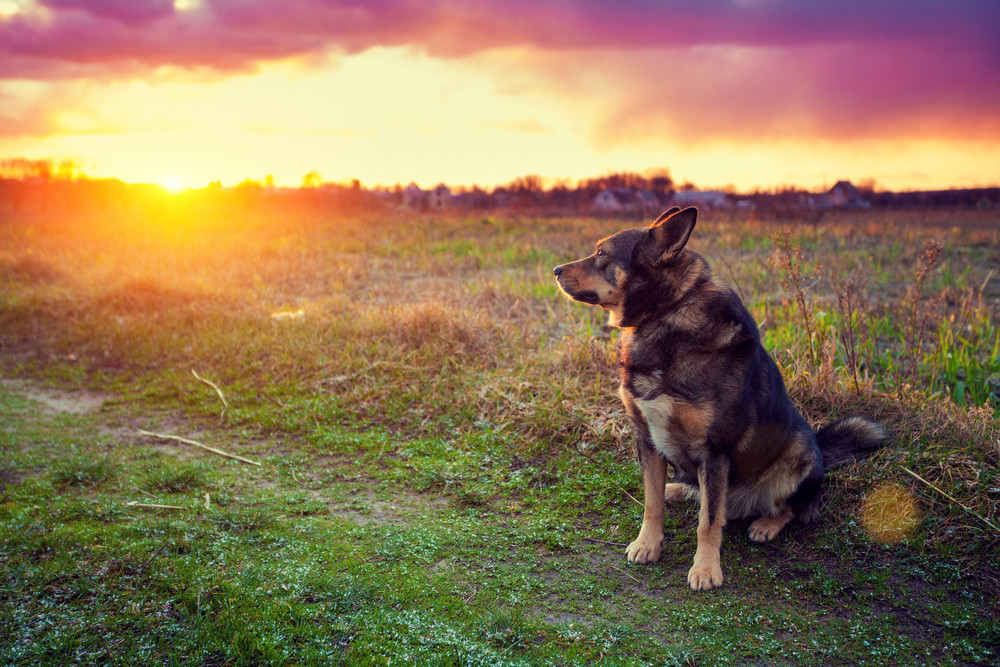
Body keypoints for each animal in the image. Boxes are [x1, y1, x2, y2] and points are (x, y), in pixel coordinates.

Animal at [552, 207, 888, 588]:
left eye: (601, 253)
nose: (556, 270)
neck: (666, 312)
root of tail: (820, 450)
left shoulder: (714, 451)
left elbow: (709, 521)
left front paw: (706, 568)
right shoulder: (648, 439)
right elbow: (652, 504)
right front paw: (647, 544)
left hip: (796, 456)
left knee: (788, 507)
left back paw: (765, 524)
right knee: (697, 492)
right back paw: (676, 489)